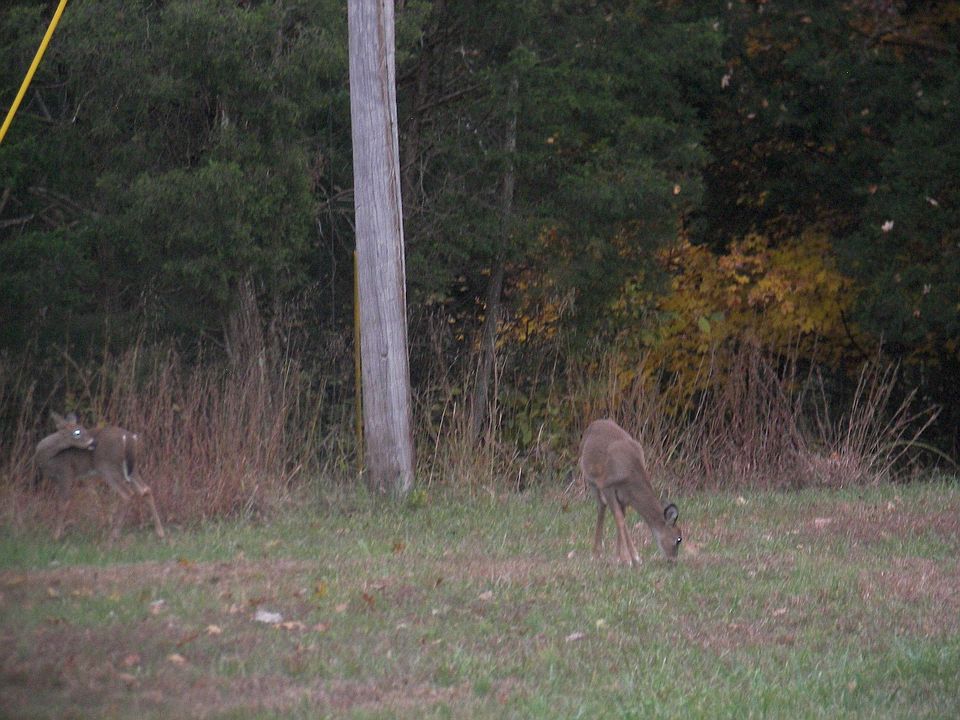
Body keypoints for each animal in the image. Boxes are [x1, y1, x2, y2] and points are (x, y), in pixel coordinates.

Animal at [34, 412, 166, 541]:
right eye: (77, 432)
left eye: (84, 429)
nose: (94, 442)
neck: (48, 457)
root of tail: (129, 438)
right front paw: (60, 532)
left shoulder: (66, 473)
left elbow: (63, 504)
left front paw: (56, 536)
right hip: (132, 468)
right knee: (146, 489)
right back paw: (160, 532)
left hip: (108, 467)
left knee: (127, 494)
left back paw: (113, 535)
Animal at [578, 418, 681, 566]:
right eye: (679, 539)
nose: (673, 560)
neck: (630, 474)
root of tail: (595, 423)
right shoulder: (607, 486)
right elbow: (620, 519)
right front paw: (630, 558)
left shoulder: (625, 496)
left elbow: (622, 519)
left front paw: (622, 557)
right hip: (590, 480)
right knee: (601, 507)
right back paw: (596, 553)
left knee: (605, 509)